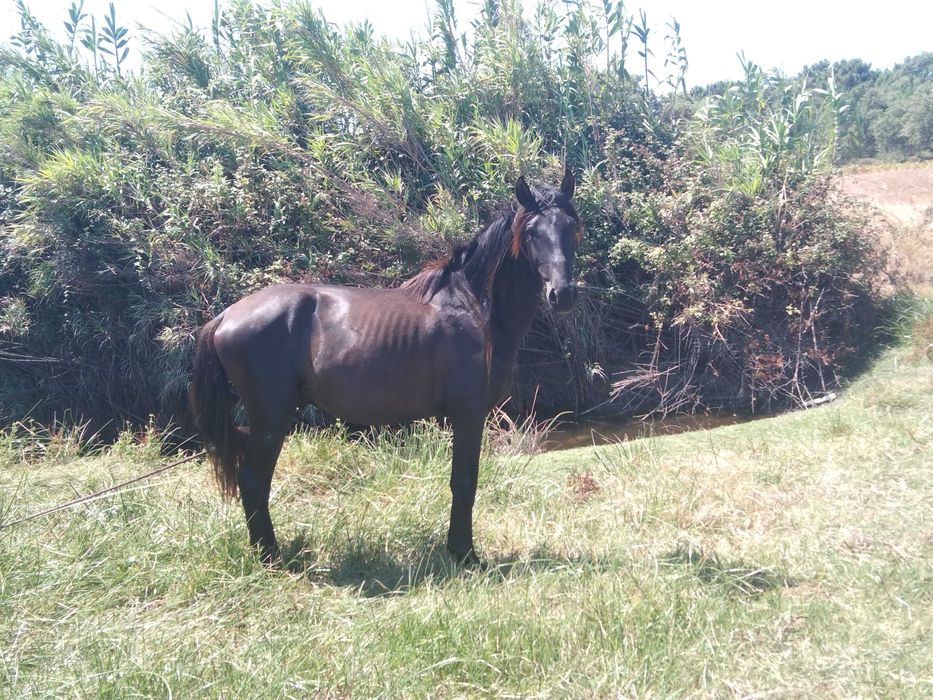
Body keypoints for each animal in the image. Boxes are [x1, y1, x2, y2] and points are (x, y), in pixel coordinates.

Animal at [188, 169, 582, 566]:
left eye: (571, 227)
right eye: (531, 231)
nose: (562, 295)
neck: (473, 307)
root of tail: (225, 316)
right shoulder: (468, 413)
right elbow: (464, 482)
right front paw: (464, 554)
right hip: (271, 417)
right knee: (254, 479)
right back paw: (271, 556)